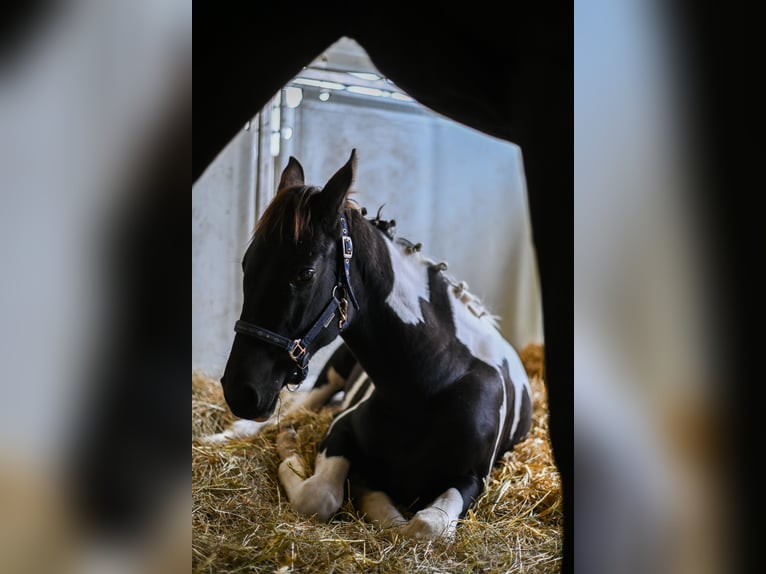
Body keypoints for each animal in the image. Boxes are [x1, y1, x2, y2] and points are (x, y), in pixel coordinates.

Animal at [222, 152, 536, 540]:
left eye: (305, 273)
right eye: (246, 264)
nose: (240, 391)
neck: (433, 383)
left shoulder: (472, 478)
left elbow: (424, 525)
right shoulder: (341, 429)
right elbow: (320, 496)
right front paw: (291, 449)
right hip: (332, 376)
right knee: (299, 405)